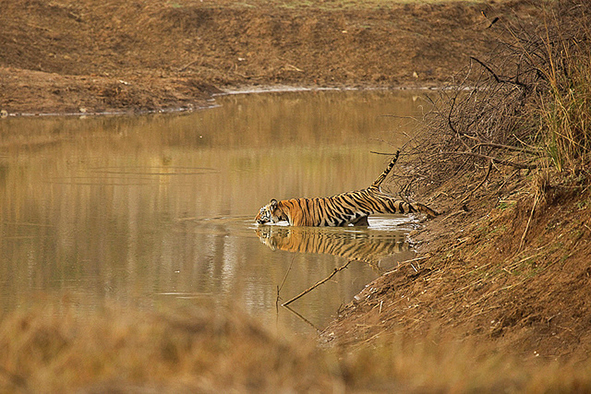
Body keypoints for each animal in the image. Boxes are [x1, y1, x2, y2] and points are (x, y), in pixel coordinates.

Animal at [256, 154, 440, 228]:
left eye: (262, 212)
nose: (255, 219)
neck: (283, 211)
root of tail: (371, 187)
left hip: (389, 204)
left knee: (414, 204)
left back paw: (434, 213)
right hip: (361, 220)